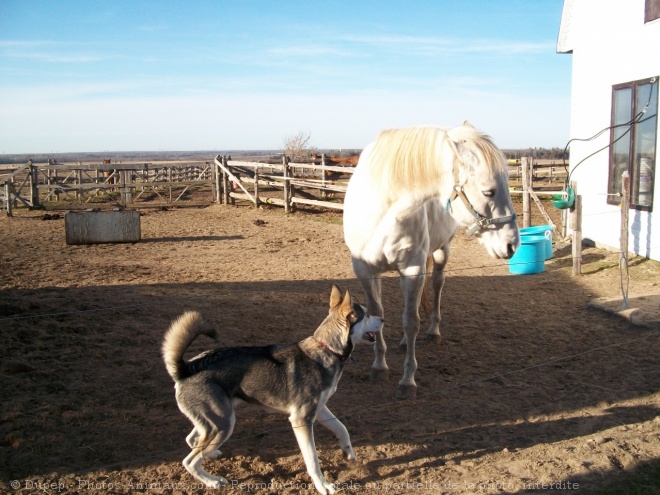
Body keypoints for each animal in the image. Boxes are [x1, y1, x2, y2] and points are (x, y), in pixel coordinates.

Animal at [162, 284, 384, 494]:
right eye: (366, 314)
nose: (382, 319)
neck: (327, 350)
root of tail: (186, 368)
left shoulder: (320, 409)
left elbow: (342, 428)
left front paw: (349, 453)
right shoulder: (301, 419)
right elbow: (312, 460)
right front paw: (323, 486)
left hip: (217, 420)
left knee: (192, 439)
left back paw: (211, 454)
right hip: (224, 423)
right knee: (189, 461)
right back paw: (212, 481)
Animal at [342, 123, 520, 400]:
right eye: (488, 191)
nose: (512, 244)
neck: (382, 210)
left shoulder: (413, 270)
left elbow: (411, 322)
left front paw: (407, 381)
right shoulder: (365, 270)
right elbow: (377, 315)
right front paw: (379, 367)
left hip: (440, 252)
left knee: (437, 285)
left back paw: (433, 331)